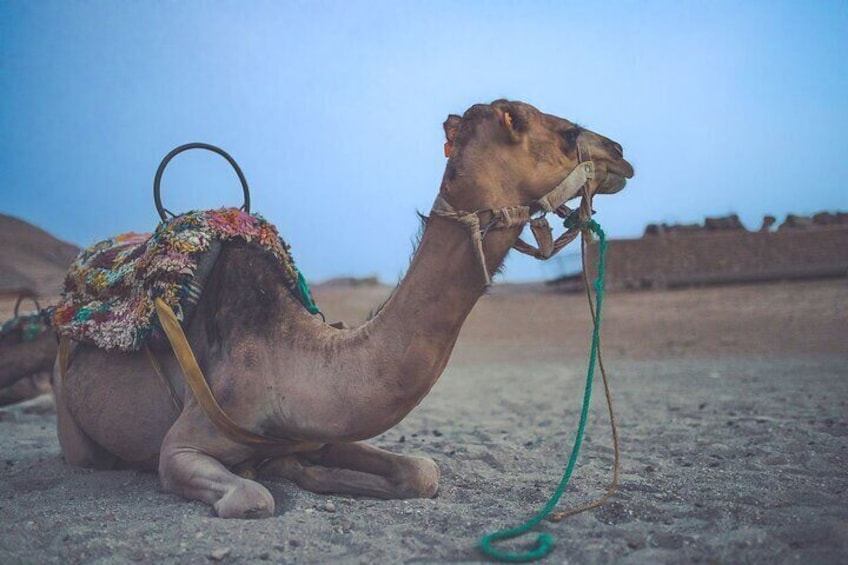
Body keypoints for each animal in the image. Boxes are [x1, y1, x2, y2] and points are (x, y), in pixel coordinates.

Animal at [54, 100, 636, 516]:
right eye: (562, 132)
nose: (619, 151)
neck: (289, 356)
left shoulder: (321, 428)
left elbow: (423, 470)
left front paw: (303, 472)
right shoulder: (178, 450)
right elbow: (252, 498)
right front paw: (277, 476)